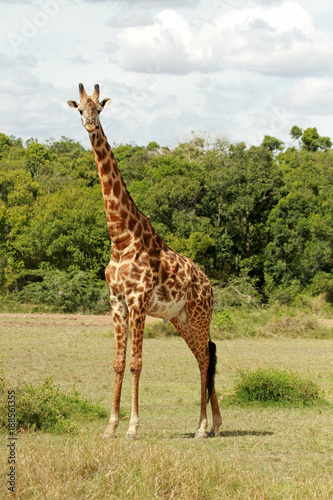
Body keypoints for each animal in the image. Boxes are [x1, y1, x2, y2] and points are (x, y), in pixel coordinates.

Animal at [67, 84, 222, 440]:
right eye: (80, 109)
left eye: (99, 108)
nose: (90, 124)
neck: (121, 239)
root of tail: (208, 283)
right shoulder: (117, 302)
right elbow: (118, 362)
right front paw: (110, 427)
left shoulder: (138, 300)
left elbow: (136, 363)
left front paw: (132, 428)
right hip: (180, 318)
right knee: (204, 356)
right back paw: (215, 424)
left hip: (199, 313)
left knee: (206, 359)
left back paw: (201, 427)